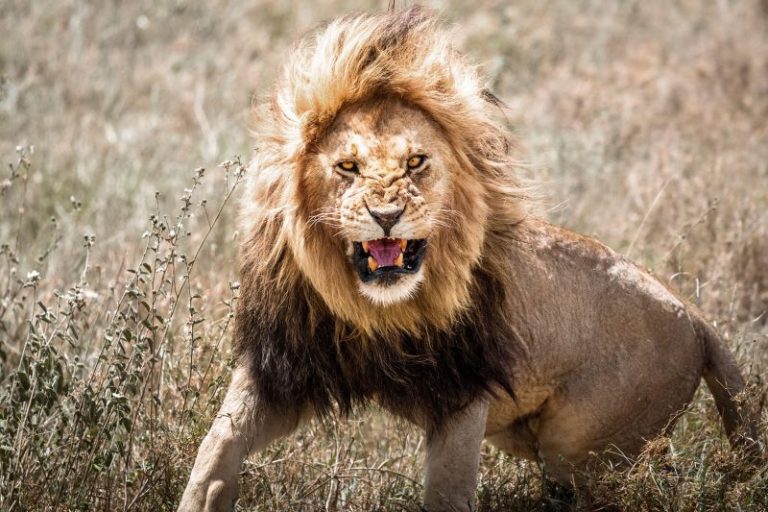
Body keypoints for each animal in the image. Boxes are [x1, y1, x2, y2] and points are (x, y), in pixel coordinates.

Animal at [179, 7, 758, 512]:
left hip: (583, 448)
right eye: (347, 166)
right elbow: (216, 448)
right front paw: (201, 497)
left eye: (416, 162)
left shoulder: (462, 390)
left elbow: (448, 492)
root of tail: (695, 317)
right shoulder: (284, 367)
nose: (386, 215)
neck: (377, 311)